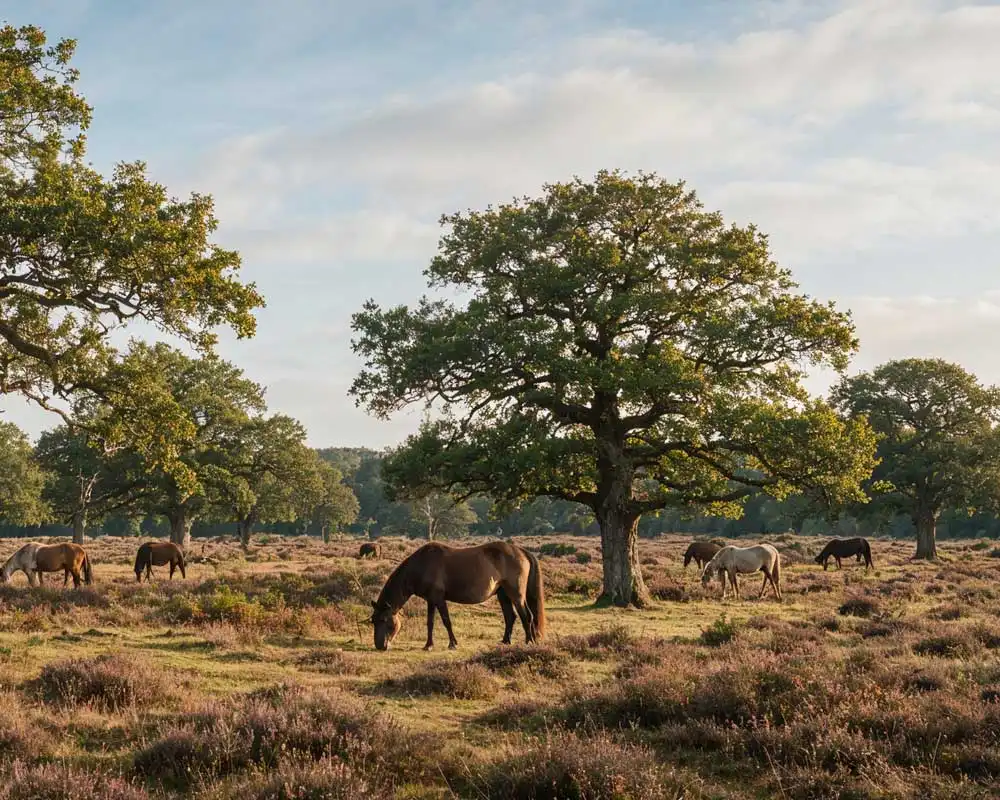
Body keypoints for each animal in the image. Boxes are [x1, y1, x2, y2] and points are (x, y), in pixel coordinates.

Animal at [368, 541, 545, 651]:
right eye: (373, 621)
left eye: (384, 620)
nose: (379, 646)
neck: (421, 565)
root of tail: (521, 551)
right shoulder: (430, 600)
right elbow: (430, 623)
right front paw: (428, 645)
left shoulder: (439, 599)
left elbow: (446, 621)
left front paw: (452, 644)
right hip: (503, 594)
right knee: (510, 617)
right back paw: (505, 642)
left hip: (516, 594)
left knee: (526, 616)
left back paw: (528, 641)